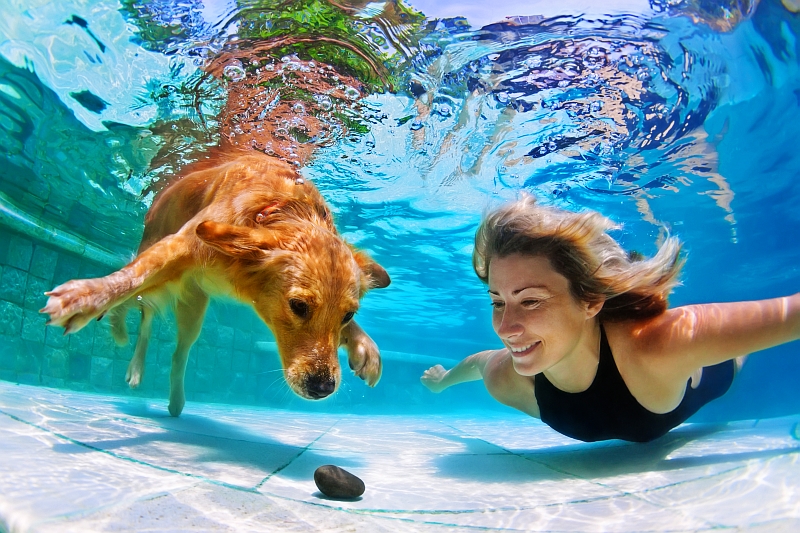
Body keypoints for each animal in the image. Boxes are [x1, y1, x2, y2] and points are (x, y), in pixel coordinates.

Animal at [40, 150, 390, 416]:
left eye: (347, 315)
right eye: (298, 306)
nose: (323, 388)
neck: (277, 207)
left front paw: (365, 347)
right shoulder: (179, 243)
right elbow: (128, 279)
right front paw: (88, 296)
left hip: (194, 307)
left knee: (175, 350)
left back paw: (175, 400)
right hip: (157, 262)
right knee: (141, 307)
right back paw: (129, 354)